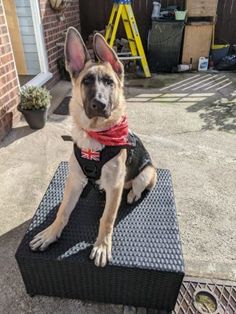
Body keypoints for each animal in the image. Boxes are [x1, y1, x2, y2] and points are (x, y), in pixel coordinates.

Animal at [30, 27, 158, 268]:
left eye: (109, 82)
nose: (99, 104)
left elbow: (106, 219)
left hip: (147, 173)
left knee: (138, 186)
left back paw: (132, 194)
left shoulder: (115, 185)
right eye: (87, 81)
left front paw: (102, 246)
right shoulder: (74, 180)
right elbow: (62, 211)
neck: (96, 134)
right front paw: (51, 233)